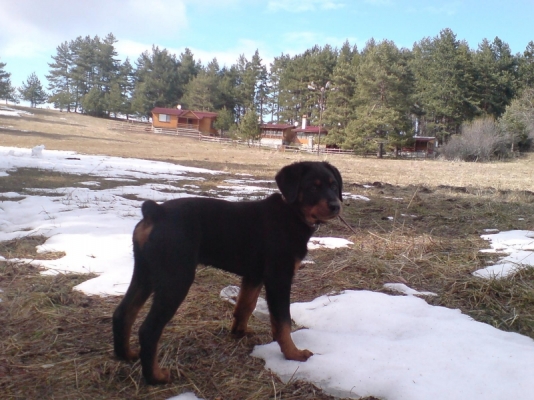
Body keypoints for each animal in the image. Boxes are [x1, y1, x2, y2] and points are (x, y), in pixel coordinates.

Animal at [112, 161, 343, 384]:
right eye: (313, 187)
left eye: (334, 186)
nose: (336, 205)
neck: (291, 213)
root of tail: (155, 212)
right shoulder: (279, 278)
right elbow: (282, 322)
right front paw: (293, 354)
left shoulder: (254, 275)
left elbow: (245, 306)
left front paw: (239, 332)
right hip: (176, 278)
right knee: (149, 329)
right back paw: (156, 377)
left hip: (145, 272)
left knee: (123, 312)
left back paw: (126, 355)